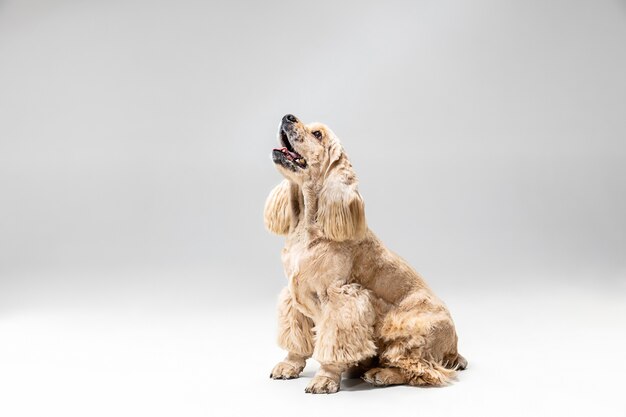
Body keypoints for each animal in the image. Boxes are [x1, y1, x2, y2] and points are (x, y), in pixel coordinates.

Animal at [264, 114, 464, 394]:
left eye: (317, 134)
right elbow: (296, 339)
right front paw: (289, 365)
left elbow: (333, 345)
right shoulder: (293, 295)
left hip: (408, 327)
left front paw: (325, 379)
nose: (287, 116)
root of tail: (454, 350)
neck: (307, 225)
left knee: (423, 369)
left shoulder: (341, 297)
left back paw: (381, 373)